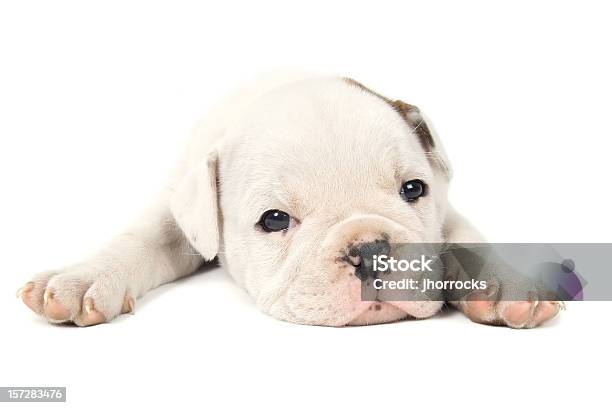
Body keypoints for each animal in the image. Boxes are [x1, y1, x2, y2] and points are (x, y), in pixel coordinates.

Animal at [17, 73, 564, 328]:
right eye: (275, 220)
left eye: (414, 190)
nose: (370, 251)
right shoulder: (178, 211)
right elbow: (145, 237)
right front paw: (85, 277)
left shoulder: (445, 212)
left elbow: (466, 239)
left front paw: (505, 285)